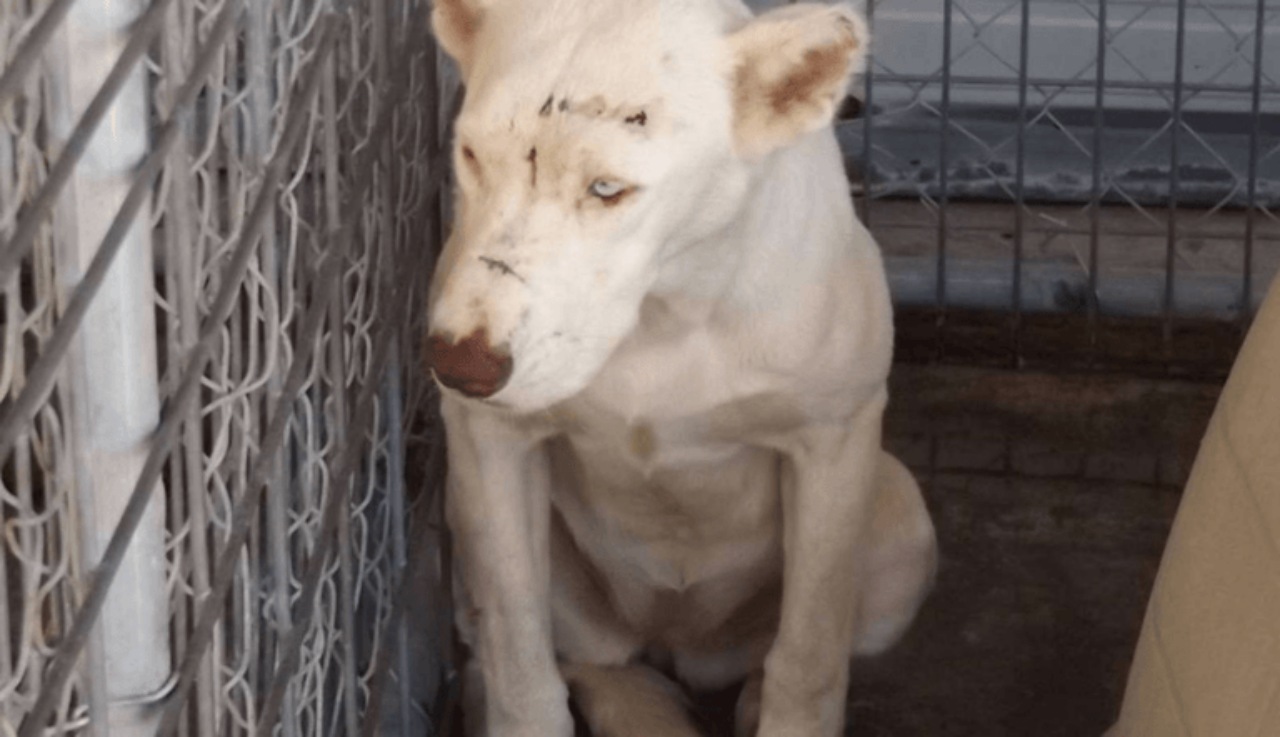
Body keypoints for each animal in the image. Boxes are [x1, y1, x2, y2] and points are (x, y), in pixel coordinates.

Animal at [424, 2, 936, 731]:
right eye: (470, 155)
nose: (458, 365)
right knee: (577, 658)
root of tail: (684, 646)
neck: (663, 314)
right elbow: (519, 664)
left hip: (900, 521)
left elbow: (808, 656)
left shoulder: (832, 444)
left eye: (608, 189)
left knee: (775, 653)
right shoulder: (490, 444)